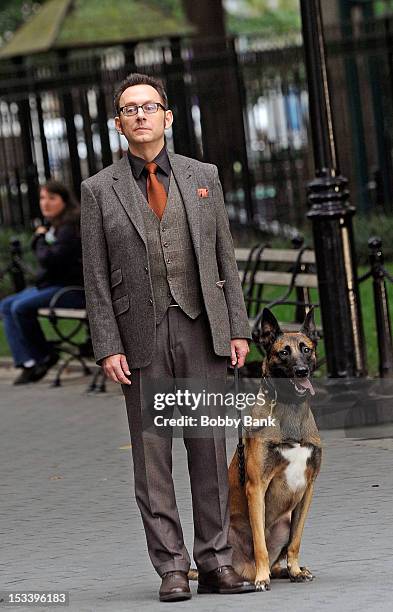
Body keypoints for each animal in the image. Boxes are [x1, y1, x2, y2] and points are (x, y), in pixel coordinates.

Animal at [227, 308, 322, 592]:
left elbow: (295, 542)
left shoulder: (308, 488)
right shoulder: (256, 487)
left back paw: (289, 570)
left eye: (306, 349)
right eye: (283, 352)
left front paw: (295, 570)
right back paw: (257, 574)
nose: (302, 371)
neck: (290, 407)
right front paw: (262, 579)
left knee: (277, 560)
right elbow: (260, 544)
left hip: (285, 521)